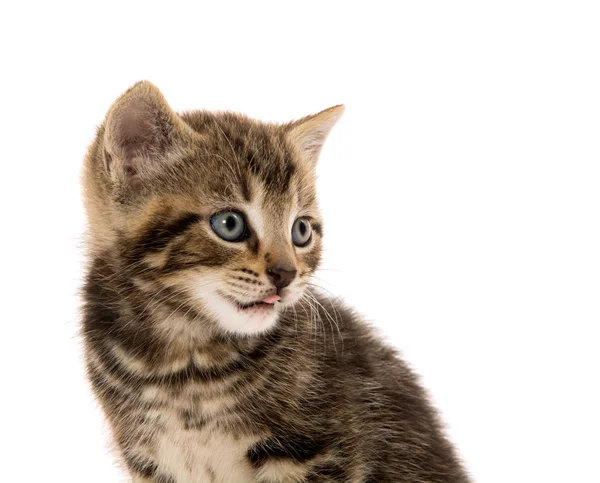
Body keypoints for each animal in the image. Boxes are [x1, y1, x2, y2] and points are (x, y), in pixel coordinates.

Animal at [83, 81, 468, 482]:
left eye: (300, 230)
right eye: (229, 224)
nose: (286, 274)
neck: (184, 366)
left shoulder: (320, 451)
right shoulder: (150, 461)